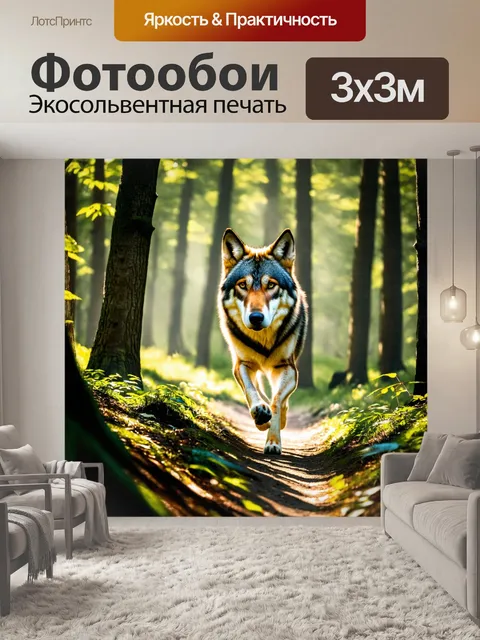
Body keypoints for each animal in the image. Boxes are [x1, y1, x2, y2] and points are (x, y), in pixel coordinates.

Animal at [218, 228, 308, 455]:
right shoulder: (241, 364)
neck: (263, 340)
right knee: (259, 389)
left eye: (271, 285)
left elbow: (276, 402)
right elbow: (252, 391)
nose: (256, 317)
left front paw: (273, 441)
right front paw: (260, 414)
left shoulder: (287, 367)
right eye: (243, 285)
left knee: (282, 401)